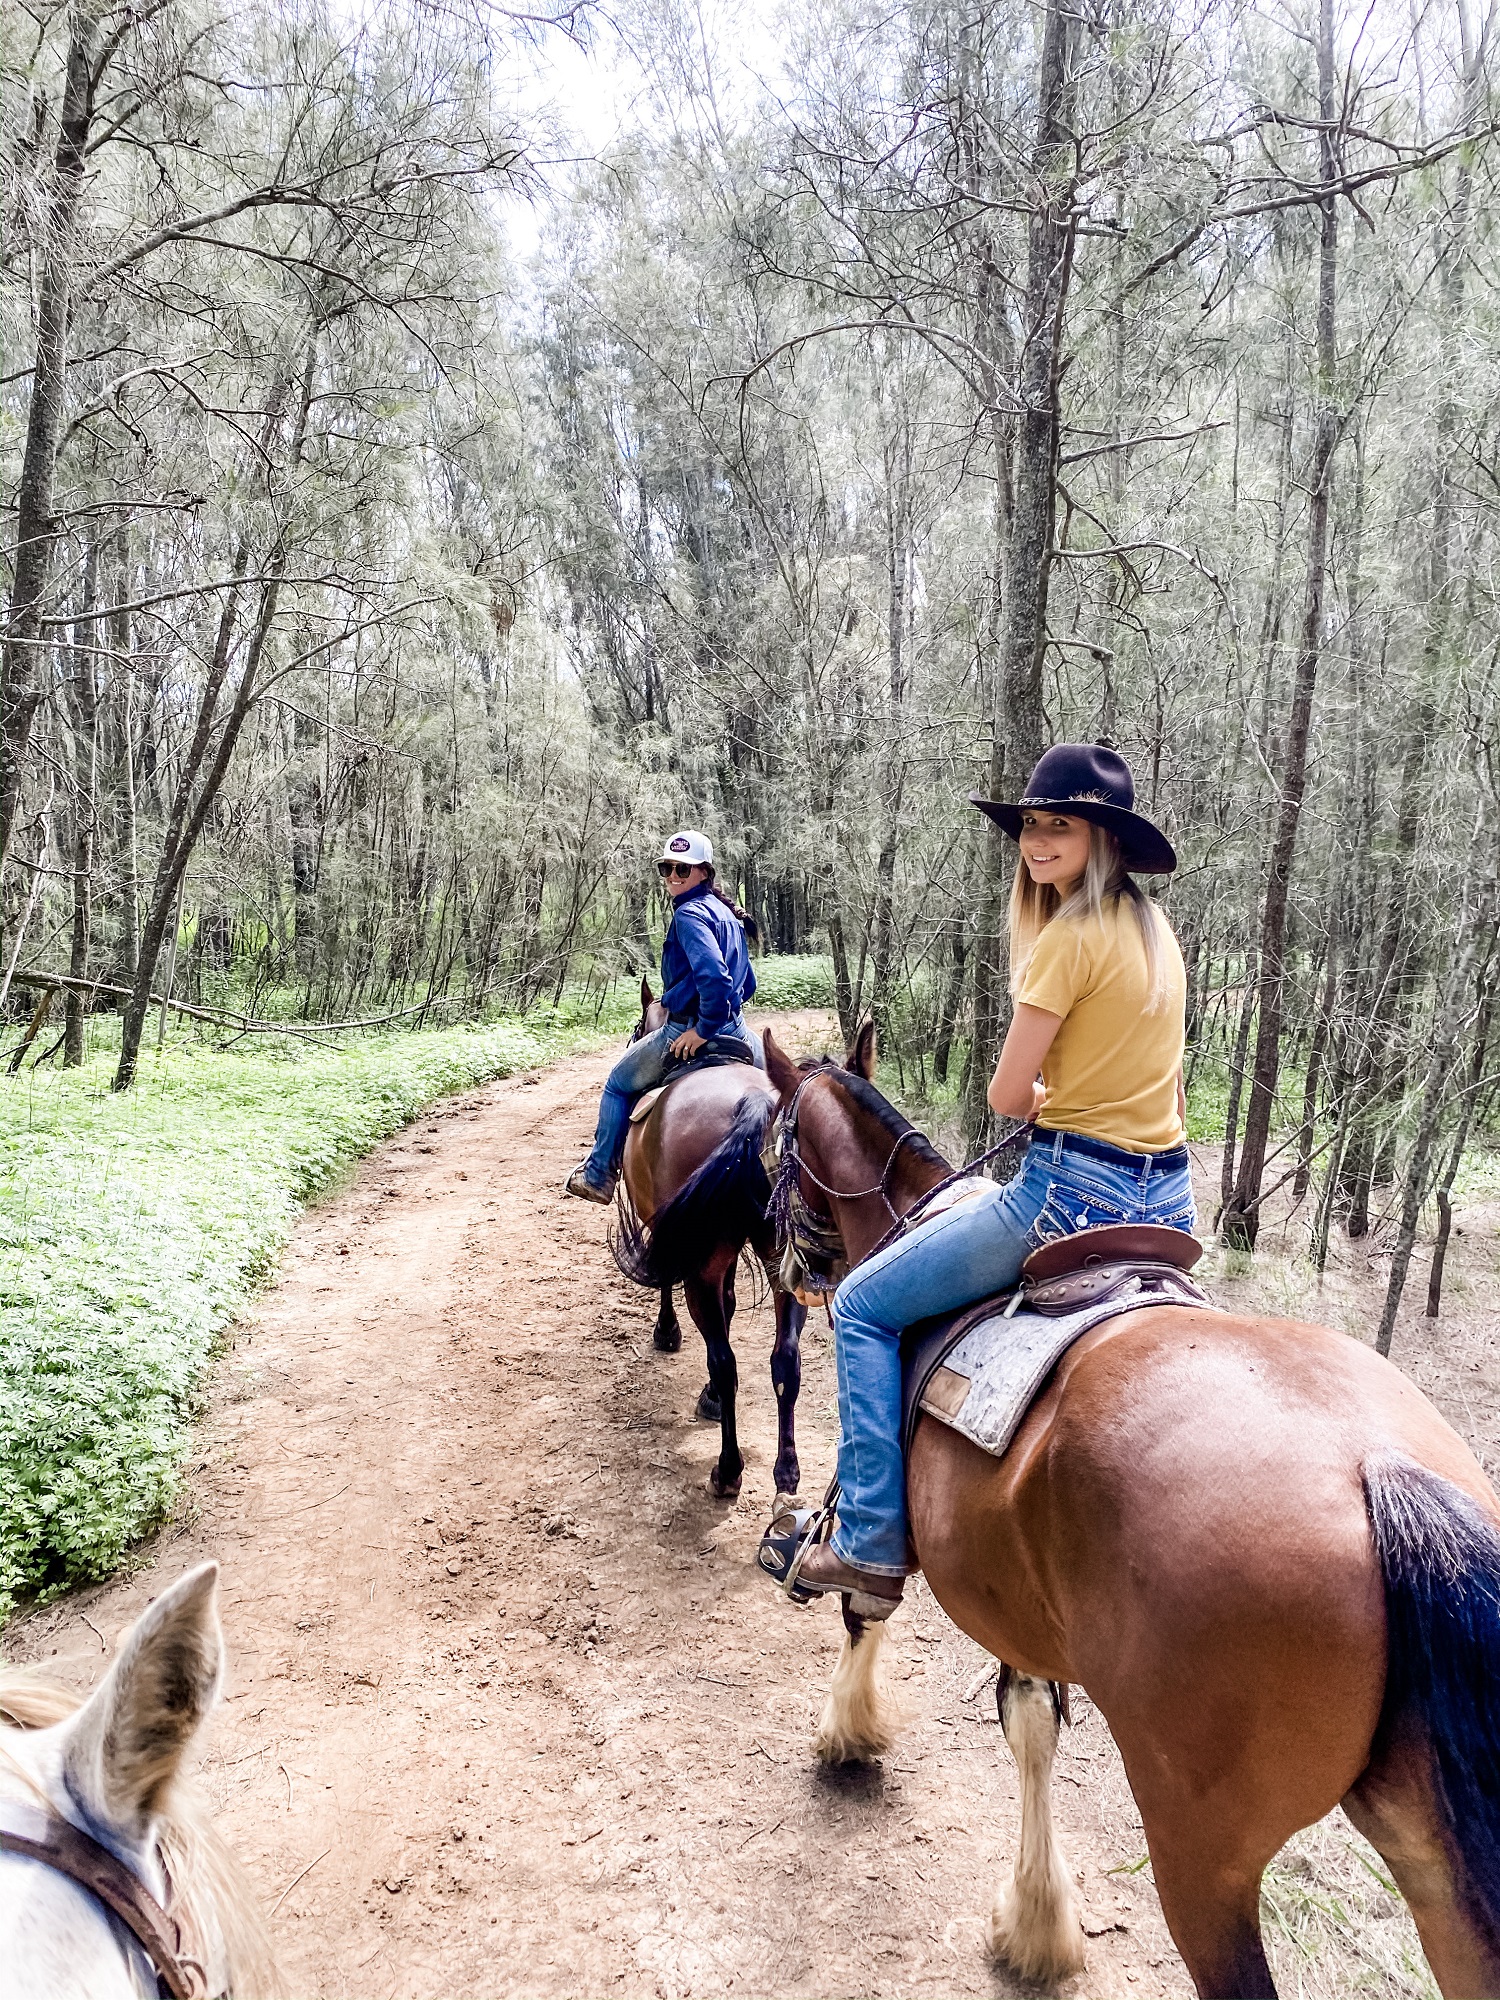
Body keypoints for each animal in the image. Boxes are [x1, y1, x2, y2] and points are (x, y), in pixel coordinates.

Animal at [612, 984, 812, 1504]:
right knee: (786, 1361)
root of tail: (753, 1104)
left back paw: (727, 1469)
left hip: (701, 1258)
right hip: (783, 1258)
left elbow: (671, 1282)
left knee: (728, 1362)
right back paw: (787, 1474)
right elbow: (731, 1301)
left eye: (637, 1027)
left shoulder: (670, 1229)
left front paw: (667, 1334)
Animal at [768, 1024, 1500, 2000]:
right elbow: (1031, 1724)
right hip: (1438, 1864)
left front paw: (848, 1730)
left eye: (774, 1143)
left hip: (1200, 1854)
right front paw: (1040, 1926)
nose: (790, 1272)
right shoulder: (1017, 1605)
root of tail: (1379, 1468)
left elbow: (865, 1603)